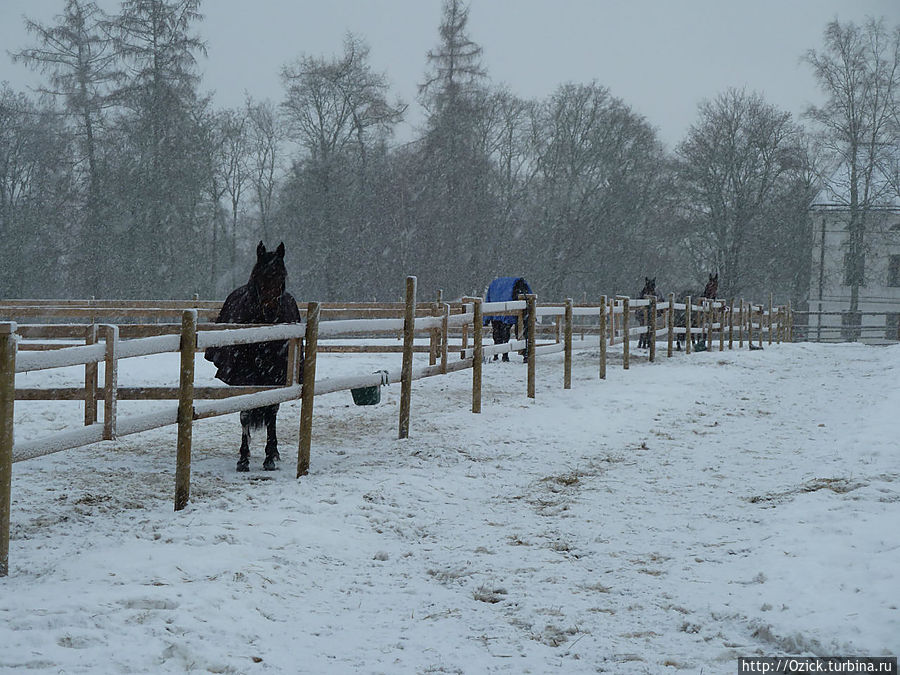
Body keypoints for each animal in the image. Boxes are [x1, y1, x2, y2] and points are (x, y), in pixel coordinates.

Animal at [204, 244, 302, 476]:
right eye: (259, 276)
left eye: (282, 276)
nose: (271, 310)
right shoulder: (242, 377)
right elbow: (246, 413)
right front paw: (243, 458)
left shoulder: (276, 377)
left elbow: (272, 410)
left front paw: (269, 457)